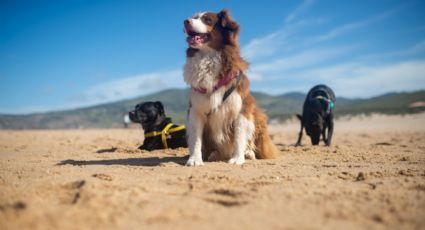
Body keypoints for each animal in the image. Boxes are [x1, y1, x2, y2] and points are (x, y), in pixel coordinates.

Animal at [183, 9, 278, 167]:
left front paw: (237, 158)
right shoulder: (196, 110)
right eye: (194, 17)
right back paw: (212, 155)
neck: (208, 57)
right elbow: (196, 139)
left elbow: (239, 136)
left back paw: (248, 153)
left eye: (207, 19)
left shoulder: (241, 109)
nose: (185, 21)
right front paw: (195, 159)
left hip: (257, 115)